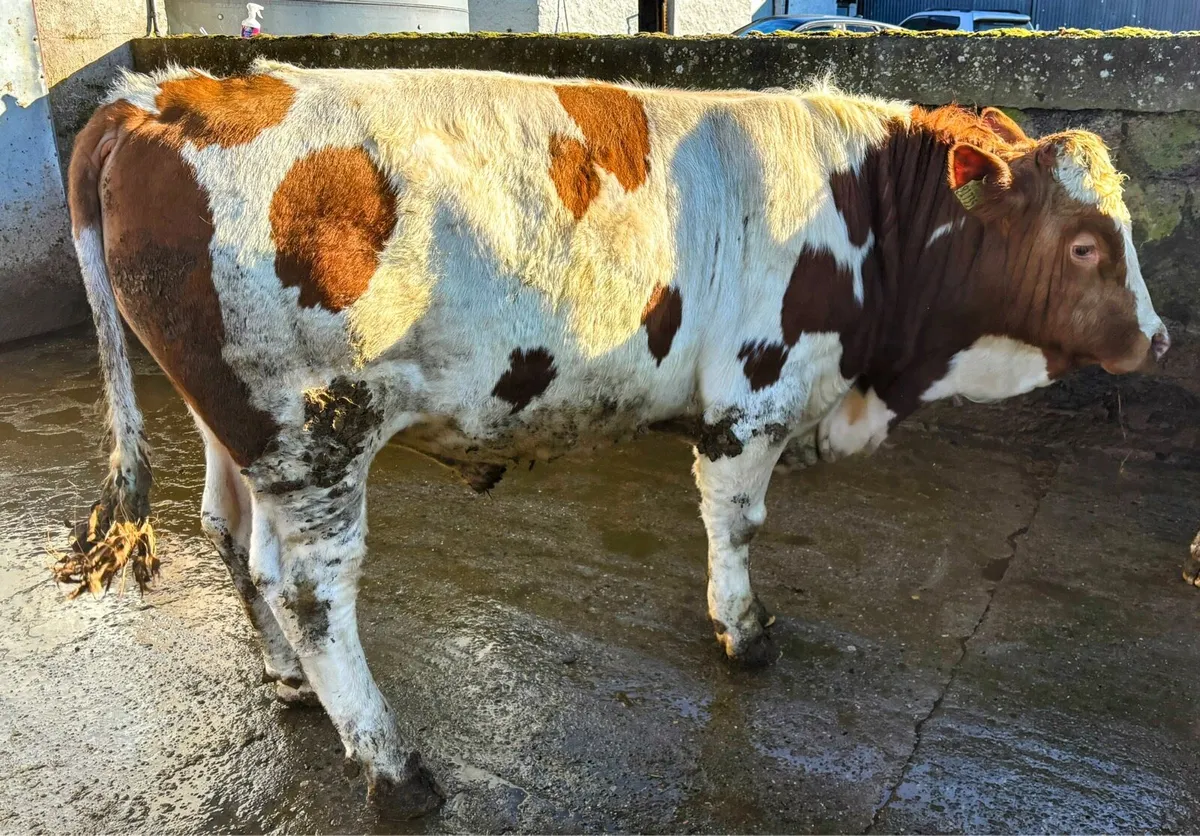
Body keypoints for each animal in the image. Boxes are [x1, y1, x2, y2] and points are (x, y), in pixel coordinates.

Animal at [56, 61, 1167, 816]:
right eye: (1084, 244)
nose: (1156, 338)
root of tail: (161, 97)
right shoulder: (754, 396)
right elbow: (737, 523)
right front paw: (744, 632)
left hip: (236, 425)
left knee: (231, 537)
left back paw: (289, 684)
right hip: (315, 429)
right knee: (312, 590)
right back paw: (392, 767)